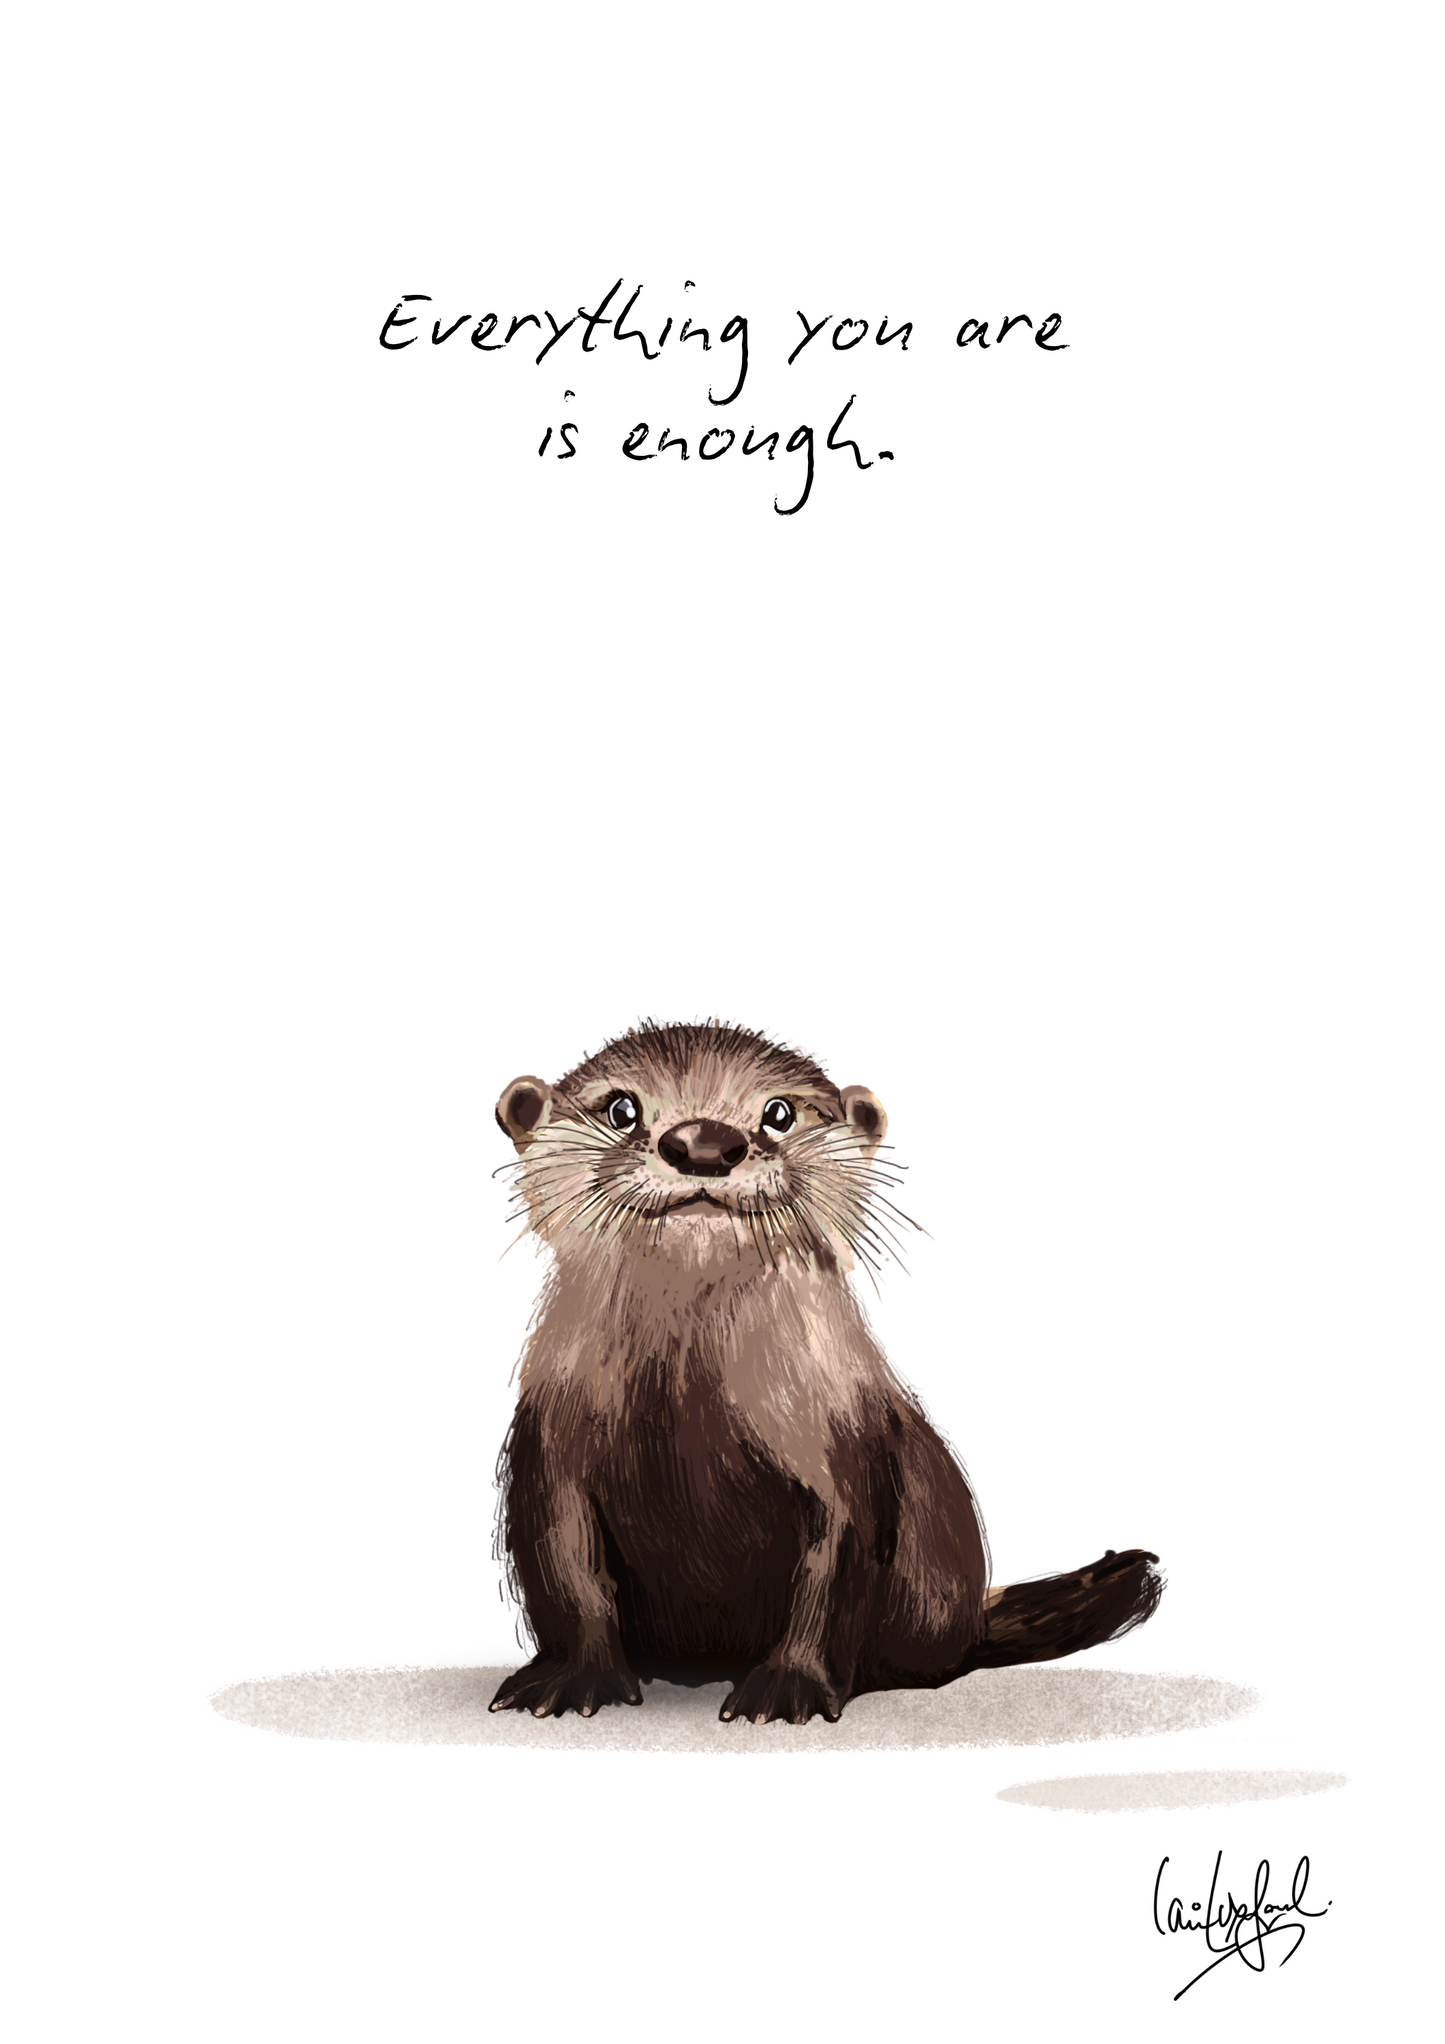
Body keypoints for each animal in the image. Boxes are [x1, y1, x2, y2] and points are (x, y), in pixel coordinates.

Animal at [489, 1020, 1161, 1725]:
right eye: (621, 1108)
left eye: (779, 1113)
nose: (704, 1142)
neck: (684, 1415)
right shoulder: (547, 1447)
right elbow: (566, 1566)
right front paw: (570, 1679)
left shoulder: (844, 1448)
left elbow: (834, 1570)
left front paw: (788, 1687)